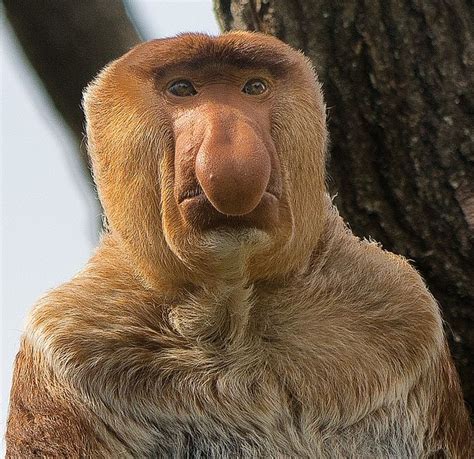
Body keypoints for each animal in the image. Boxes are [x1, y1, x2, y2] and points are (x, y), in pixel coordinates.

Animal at [6, 31, 470, 456]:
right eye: (182, 89)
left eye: (254, 87)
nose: (228, 137)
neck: (235, 311)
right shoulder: (66, 338)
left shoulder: (403, 306)